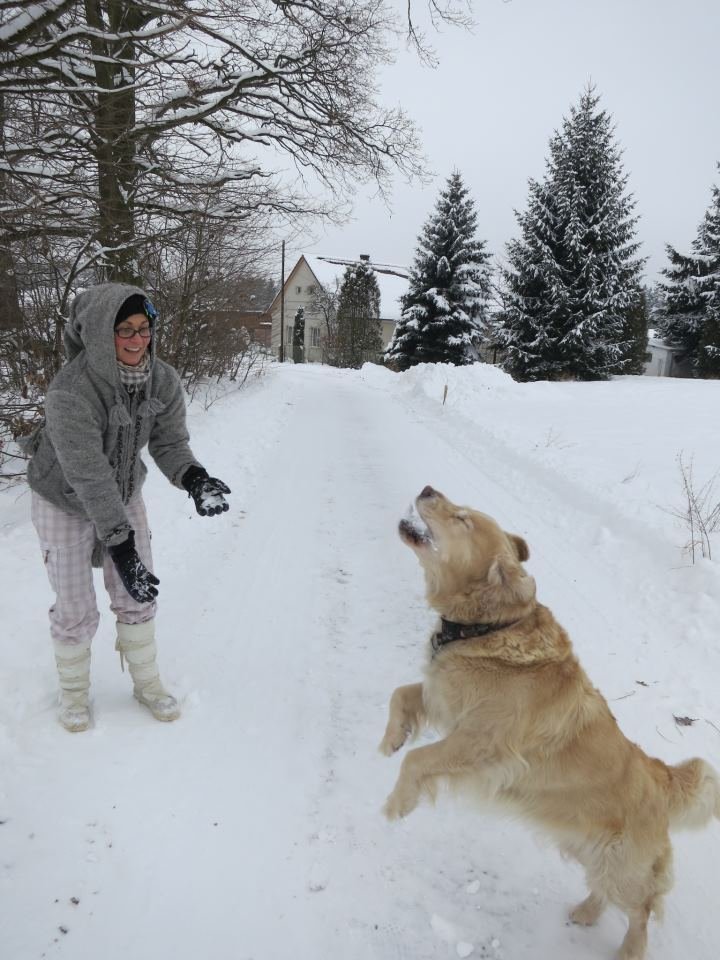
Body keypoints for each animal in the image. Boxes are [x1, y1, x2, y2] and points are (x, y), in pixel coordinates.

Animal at [380, 488, 716, 960]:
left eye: (462, 519)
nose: (428, 490)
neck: (486, 626)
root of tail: (660, 775)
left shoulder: (481, 742)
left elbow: (418, 760)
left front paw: (398, 804)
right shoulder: (444, 701)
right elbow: (402, 694)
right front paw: (391, 738)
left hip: (622, 865)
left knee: (643, 908)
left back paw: (629, 949)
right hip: (586, 846)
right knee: (607, 892)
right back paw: (587, 912)